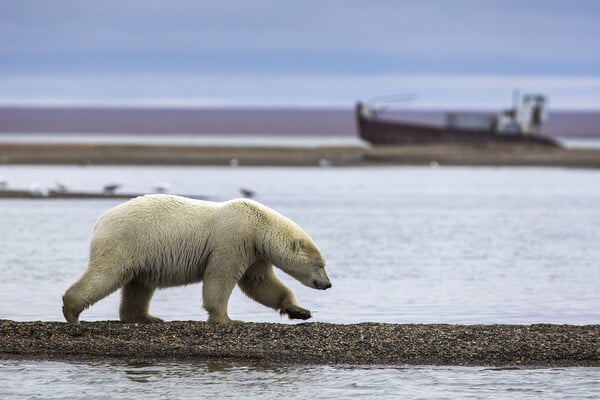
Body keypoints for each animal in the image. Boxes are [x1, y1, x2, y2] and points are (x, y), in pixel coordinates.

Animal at [63, 195, 330, 324]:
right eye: (320, 265)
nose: (328, 284)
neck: (260, 226)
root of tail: (101, 220)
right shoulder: (234, 239)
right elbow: (221, 277)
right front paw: (226, 319)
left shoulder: (255, 252)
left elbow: (260, 284)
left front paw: (300, 311)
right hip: (127, 241)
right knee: (107, 273)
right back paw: (71, 310)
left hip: (143, 252)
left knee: (139, 285)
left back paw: (147, 317)